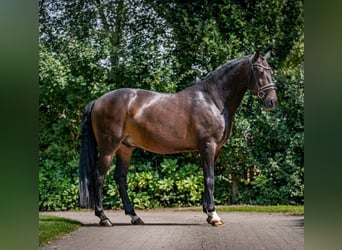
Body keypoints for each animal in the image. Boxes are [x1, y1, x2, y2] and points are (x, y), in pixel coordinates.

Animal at [78, 49, 278, 227]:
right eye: (260, 71)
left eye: (271, 71)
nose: (272, 101)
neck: (213, 99)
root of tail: (97, 101)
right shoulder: (208, 146)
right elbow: (210, 179)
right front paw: (214, 216)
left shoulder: (214, 150)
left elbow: (206, 177)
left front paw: (208, 213)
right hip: (109, 147)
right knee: (98, 176)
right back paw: (104, 218)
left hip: (125, 148)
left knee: (120, 178)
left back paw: (134, 216)